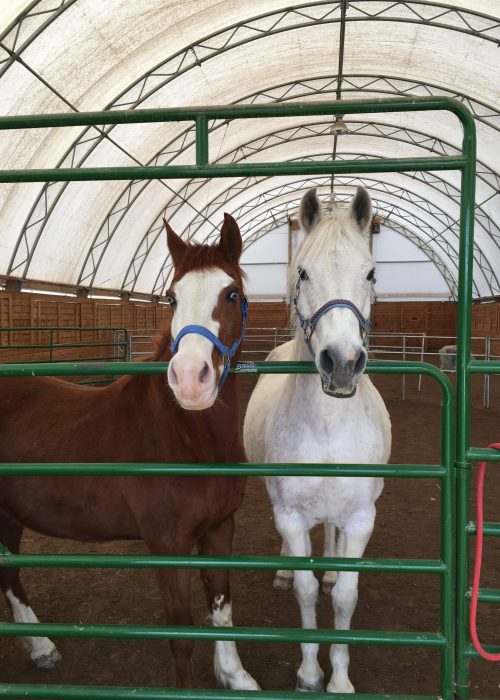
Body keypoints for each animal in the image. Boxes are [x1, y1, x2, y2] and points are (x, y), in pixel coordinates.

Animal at [0, 214, 259, 691]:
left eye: (232, 294)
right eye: (173, 297)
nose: (190, 379)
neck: (184, 435)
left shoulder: (220, 529)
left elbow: (222, 606)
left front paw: (235, 676)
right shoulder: (167, 545)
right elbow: (181, 636)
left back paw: (41, 647)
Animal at [243, 186, 391, 694]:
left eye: (371, 272)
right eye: (303, 272)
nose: (341, 363)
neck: (328, 427)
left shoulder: (363, 518)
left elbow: (345, 594)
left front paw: (340, 679)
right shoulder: (289, 512)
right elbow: (306, 592)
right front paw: (310, 673)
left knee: (330, 534)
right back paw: (287, 569)